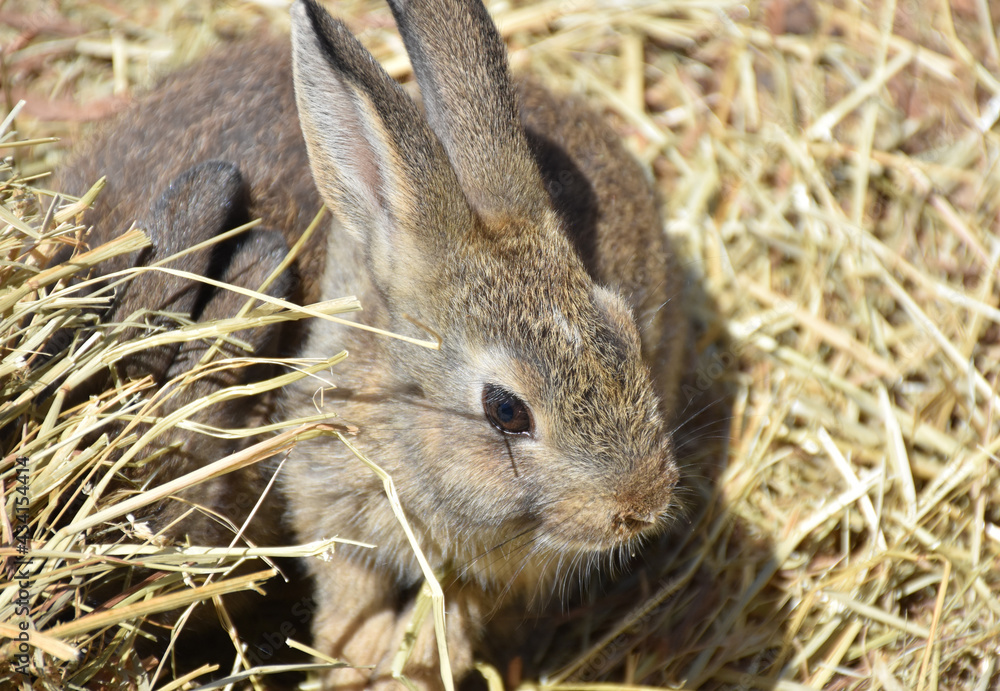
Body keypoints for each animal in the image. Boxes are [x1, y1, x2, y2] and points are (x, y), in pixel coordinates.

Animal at [57, 0, 688, 686]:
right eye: (506, 410)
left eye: (626, 332)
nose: (639, 506)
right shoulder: (332, 514)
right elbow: (350, 593)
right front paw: (350, 660)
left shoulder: (491, 575)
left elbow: (447, 624)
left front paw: (400, 667)